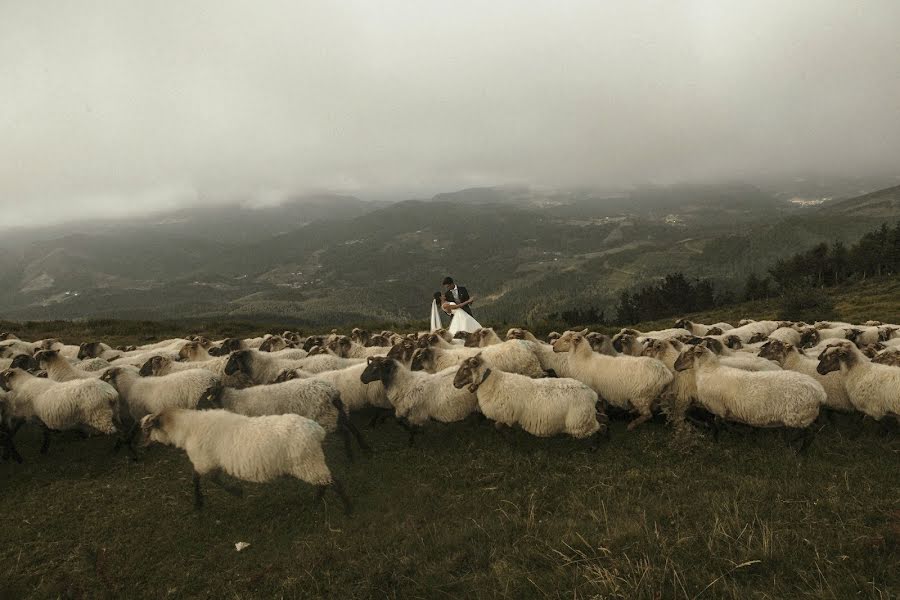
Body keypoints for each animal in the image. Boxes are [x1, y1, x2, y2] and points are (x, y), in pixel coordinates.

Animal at [141, 410, 352, 512]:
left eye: (148, 429)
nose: (143, 447)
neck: (186, 428)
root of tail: (317, 430)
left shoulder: (204, 461)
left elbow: (200, 479)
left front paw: (200, 502)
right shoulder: (213, 461)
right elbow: (212, 479)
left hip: (308, 462)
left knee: (333, 481)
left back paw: (347, 509)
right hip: (311, 462)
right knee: (325, 482)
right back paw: (317, 500)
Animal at [450, 352, 604, 446]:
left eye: (465, 368)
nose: (454, 384)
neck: (492, 382)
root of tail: (591, 394)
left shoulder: (505, 415)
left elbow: (498, 427)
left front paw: (510, 440)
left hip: (580, 422)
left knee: (599, 428)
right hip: (586, 418)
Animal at [672, 344, 828, 448]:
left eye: (686, 354)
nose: (675, 367)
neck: (709, 371)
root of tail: (820, 392)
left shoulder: (718, 407)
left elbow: (717, 424)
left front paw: (716, 440)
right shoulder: (724, 409)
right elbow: (723, 423)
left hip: (799, 416)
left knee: (810, 432)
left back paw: (800, 451)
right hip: (804, 415)